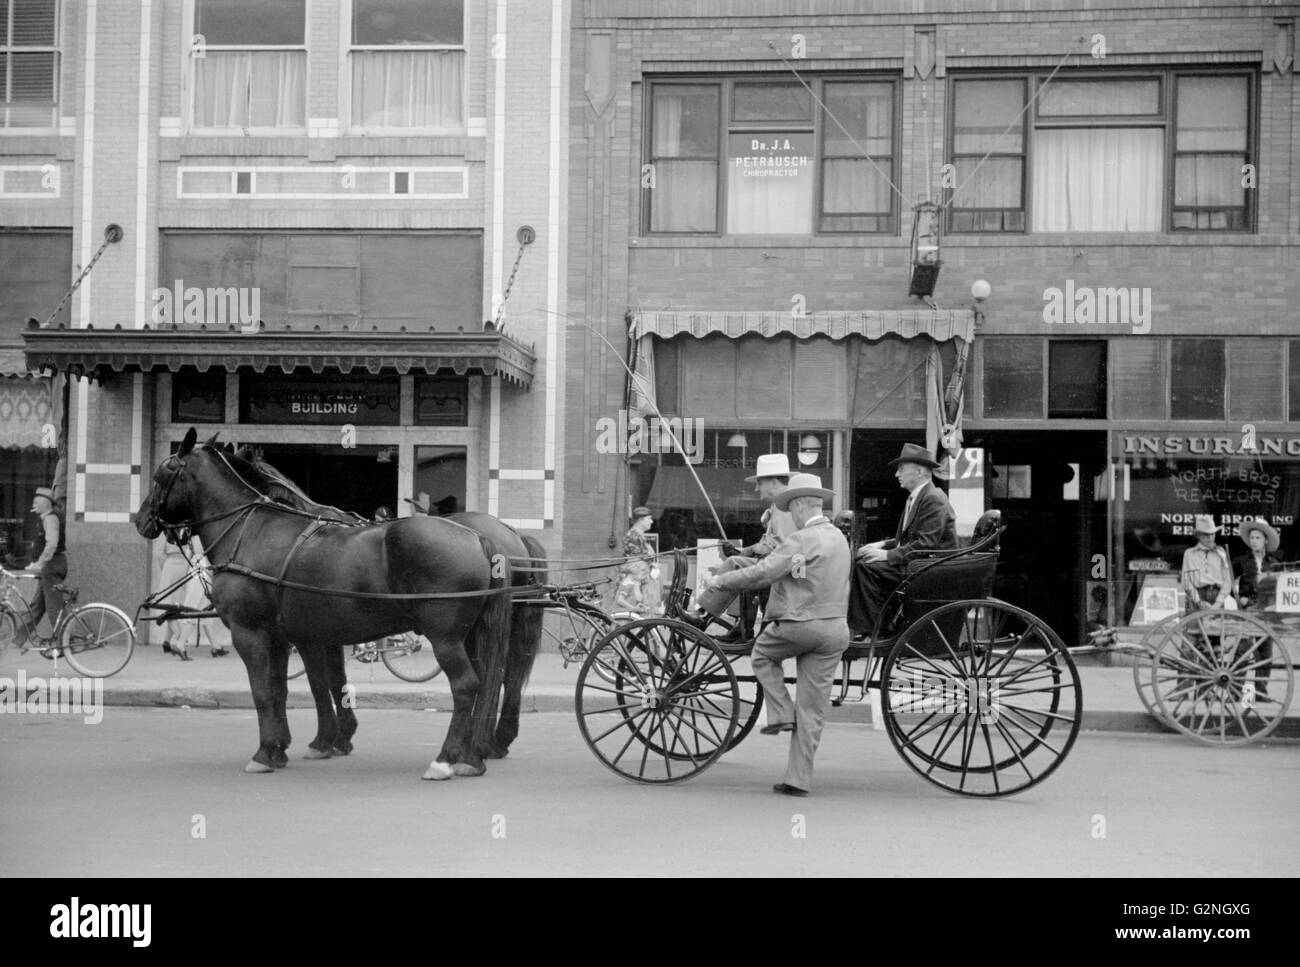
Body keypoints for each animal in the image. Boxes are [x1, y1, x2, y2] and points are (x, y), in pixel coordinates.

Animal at [135, 428, 512, 779]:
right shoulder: (284, 637)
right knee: (482, 683)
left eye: (162, 474)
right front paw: (281, 748)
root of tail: (478, 537)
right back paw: (470, 759)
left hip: (445, 639)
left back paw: (445, 759)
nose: (141, 520)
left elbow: (265, 691)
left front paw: (266, 752)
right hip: (468, 636)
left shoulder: (252, 633)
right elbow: (283, 690)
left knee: (465, 686)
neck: (249, 530)